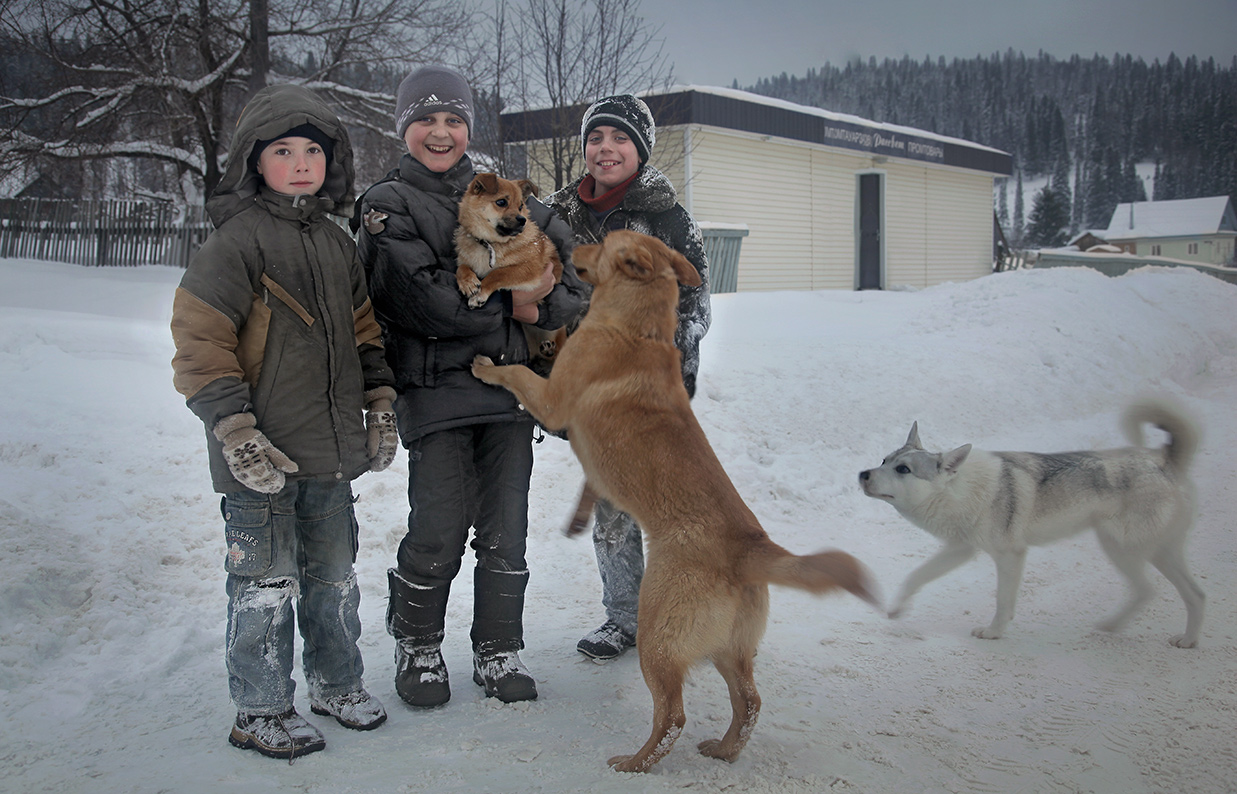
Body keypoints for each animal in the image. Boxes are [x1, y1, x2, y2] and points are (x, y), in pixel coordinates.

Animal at [467, 230, 875, 771]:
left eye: (602, 243)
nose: (567, 245)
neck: (636, 330)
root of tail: (750, 547)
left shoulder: (552, 401)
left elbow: (518, 375)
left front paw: (488, 366)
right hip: (730, 650)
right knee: (749, 701)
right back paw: (723, 750)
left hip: (657, 637)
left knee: (673, 716)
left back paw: (635, 763)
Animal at [860, 398, 1197, 648]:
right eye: (884, 461)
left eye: (903, 469)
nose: (862, 474)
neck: (960, 492)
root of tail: (1163, 462)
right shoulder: (960, 550)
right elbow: (914, 577)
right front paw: (896, 608)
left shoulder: (1010, 555)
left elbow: (1003, 600)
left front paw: (993, 633)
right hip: (1134, 551)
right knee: (1175, 592)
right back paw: (1128, 629)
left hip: (1131, 550)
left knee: (1169, 592)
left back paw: (1182, 639)